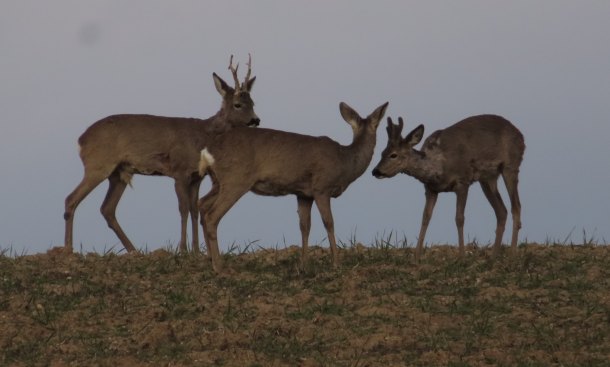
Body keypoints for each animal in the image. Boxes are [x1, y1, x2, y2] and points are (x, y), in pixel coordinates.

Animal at [63, 55, 258, 253]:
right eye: (237, 104)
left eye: (253, 103)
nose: (255, 120)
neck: (204, 135)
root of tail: (81, 140)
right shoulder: (179, 171)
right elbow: (183, 208)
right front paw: (183, 249)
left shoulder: (197, 177)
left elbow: (195, 209)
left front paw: (196, 250)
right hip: (98, 164)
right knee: (71, 199)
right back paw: (68, 250)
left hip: (119, 173)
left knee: (107, 209)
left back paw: (134, 251)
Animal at [197, 100, 388, 270]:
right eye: (377, 125)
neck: (345, 161)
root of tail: (208, 151)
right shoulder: (321, 187)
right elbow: (329, 222)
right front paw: (336, 263)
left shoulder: (303, 193)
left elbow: (304, 226)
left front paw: (303, 266)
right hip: (235, 179)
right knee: (212, 215)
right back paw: (219, 267)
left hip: (218, 181)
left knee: (203, 204)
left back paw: (209, 259)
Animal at [370, 115, 524, 262]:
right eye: (381, 152)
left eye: (393, 155)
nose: (375, 171)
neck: (439, 166)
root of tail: (520, 135)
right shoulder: (430, 189)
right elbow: (425, 217)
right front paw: (416, 257)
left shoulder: (463, 182)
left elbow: (459, 218)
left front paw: (462, 257)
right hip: (487, 178)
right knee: (502, 211)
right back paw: (493, 257)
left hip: (511, 165)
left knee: (516, 206)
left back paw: (512, 254)